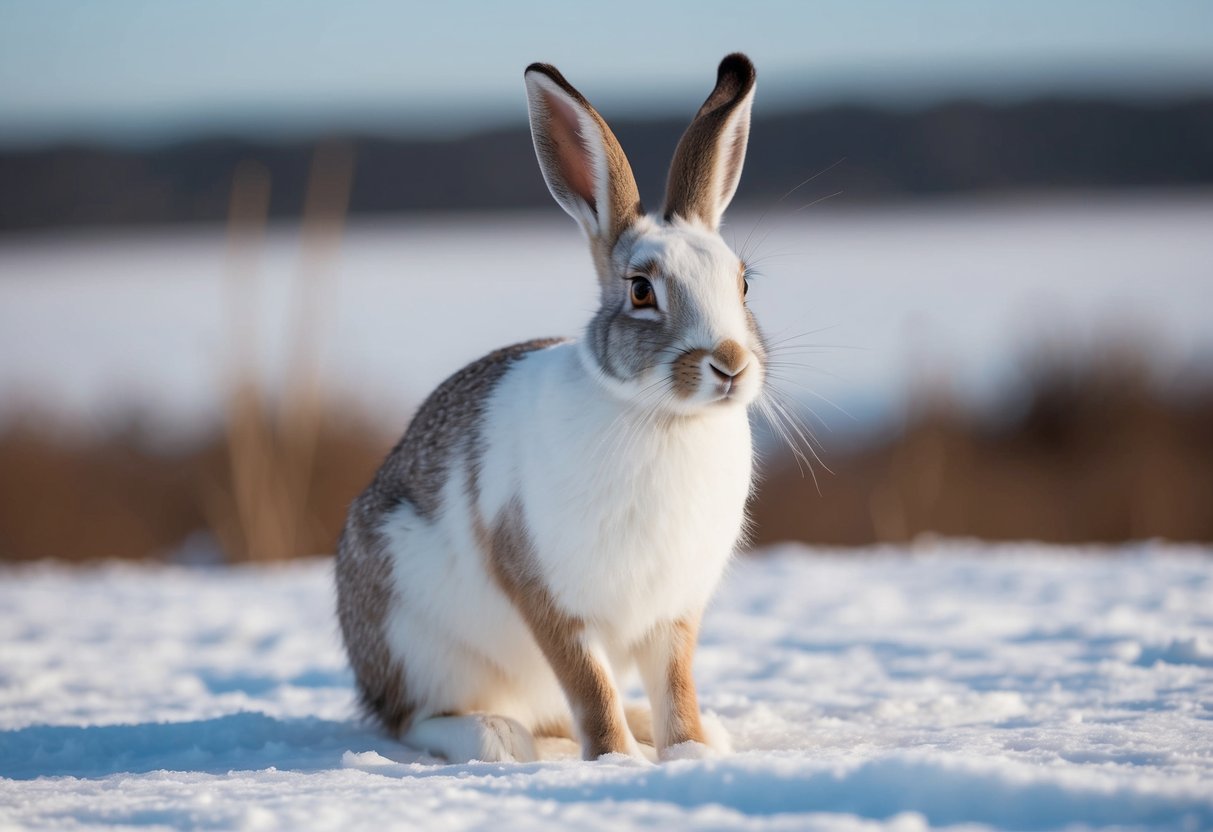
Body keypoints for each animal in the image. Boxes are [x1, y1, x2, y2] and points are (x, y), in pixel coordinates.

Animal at [336, 53, 764, 764]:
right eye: (641, 291)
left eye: (743, 282)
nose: (730, 363)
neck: (659, 416)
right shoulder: (546, 592)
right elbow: (588, 683)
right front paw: (616, 760)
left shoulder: (673, 611)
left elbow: (675, 684)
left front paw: (689, 752)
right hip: (419, 640)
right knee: (420, 718)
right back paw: (496, 737)